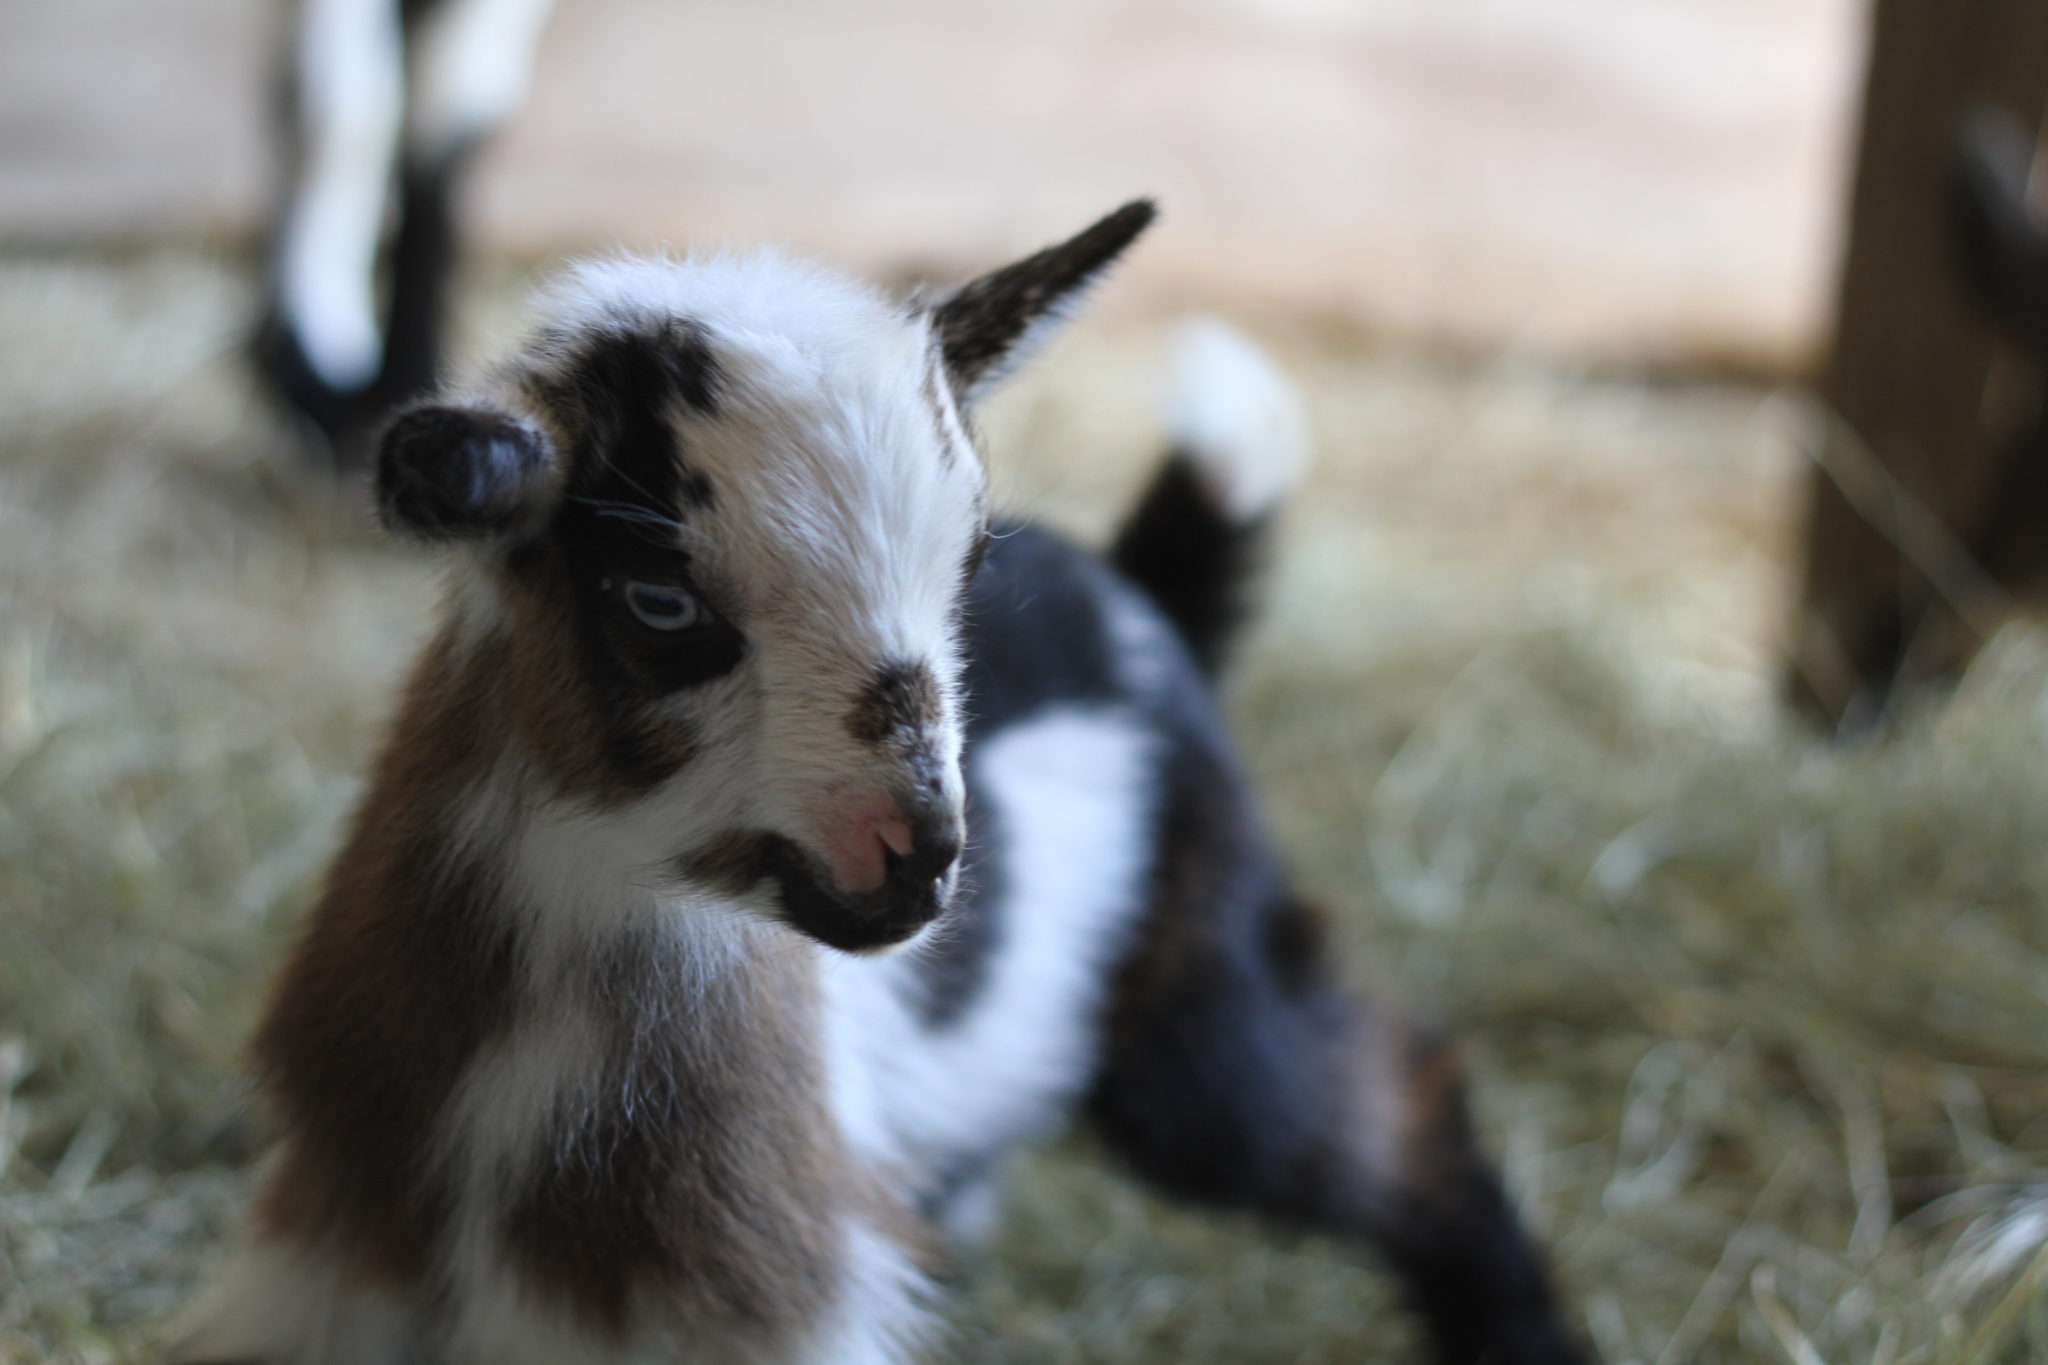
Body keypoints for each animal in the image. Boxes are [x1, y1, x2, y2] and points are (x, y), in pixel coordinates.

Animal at [177, 202, 1585, 1364]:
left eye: (963, 569)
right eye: (658, 599)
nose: (921, 857)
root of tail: (1139, 596)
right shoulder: (327, 1277)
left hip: (1198, 983)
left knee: (1378, 1107)